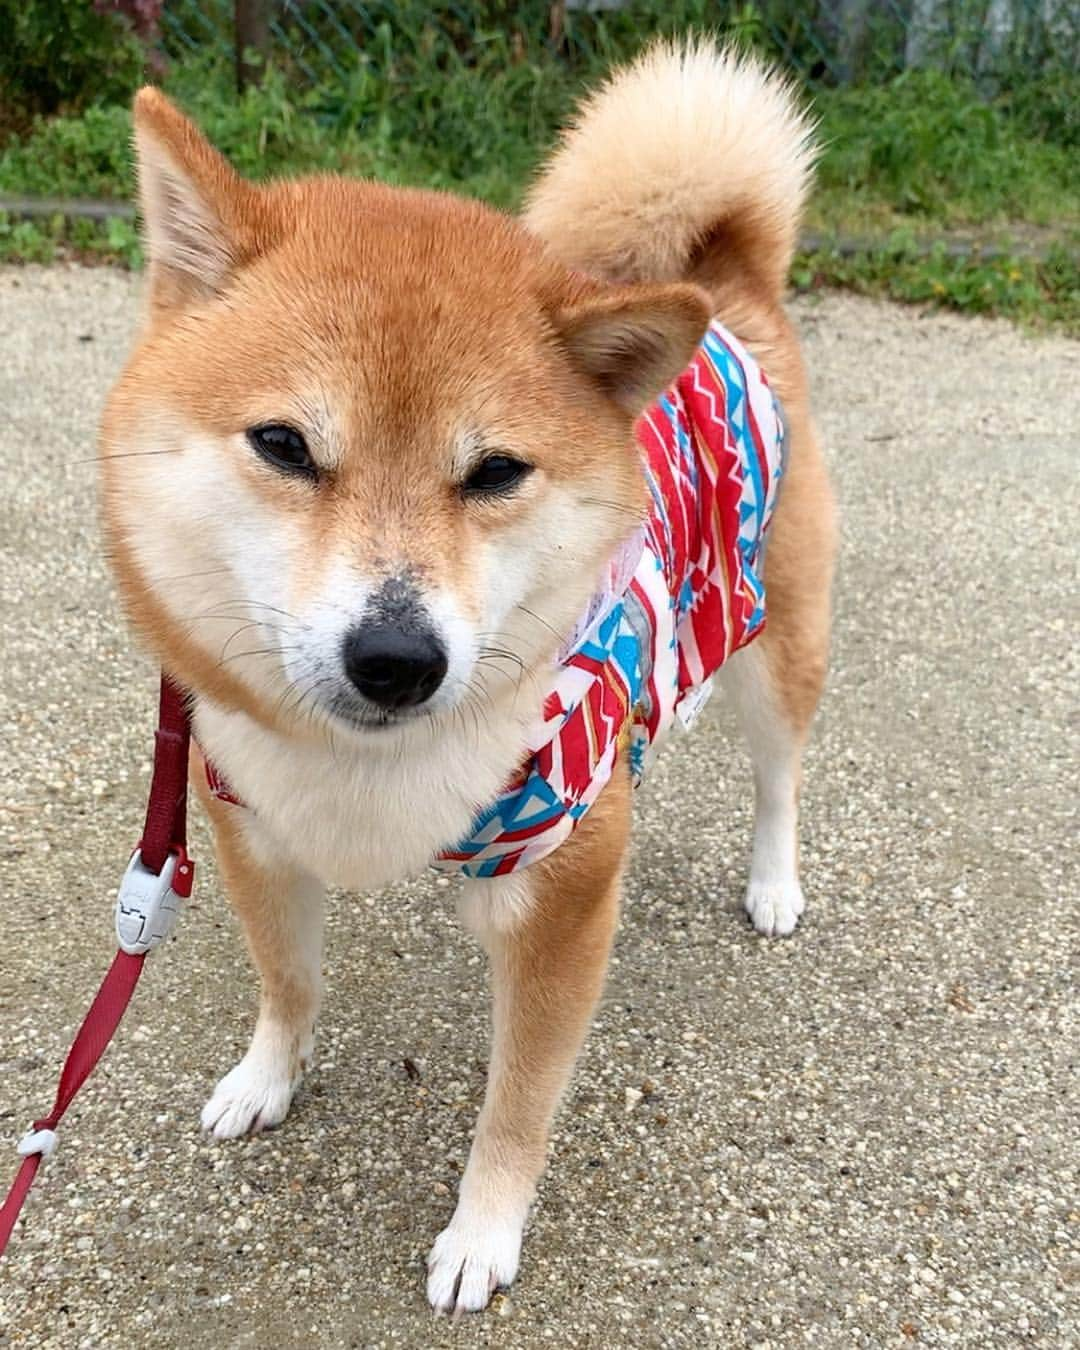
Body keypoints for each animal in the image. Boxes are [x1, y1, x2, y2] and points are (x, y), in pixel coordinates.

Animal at [99, 39, 837, 1306]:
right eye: (284, 445)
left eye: (494, 472)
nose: (397, 659)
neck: (366, 774)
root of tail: (729, 291)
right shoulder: (248, 822)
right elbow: (288, 982)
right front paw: (268, 1079)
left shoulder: (565, 892)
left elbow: (519, 1101)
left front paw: (483, 1233)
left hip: (777, 640)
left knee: (780, 776)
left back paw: (774, 881)